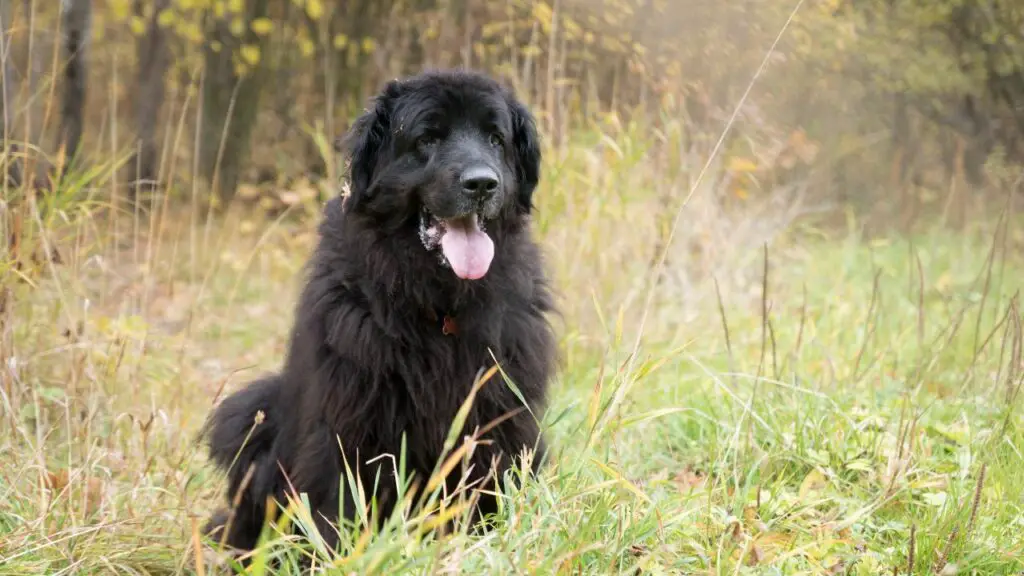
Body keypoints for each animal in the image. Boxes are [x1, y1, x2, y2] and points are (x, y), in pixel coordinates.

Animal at [203, 69, 557, 549]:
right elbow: (341, 496)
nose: (482, 183)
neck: (439, 305)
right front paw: (343, 553)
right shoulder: (351, 418)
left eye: (495, 138)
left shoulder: (499, 414)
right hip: (251, 415)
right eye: (428, 138)